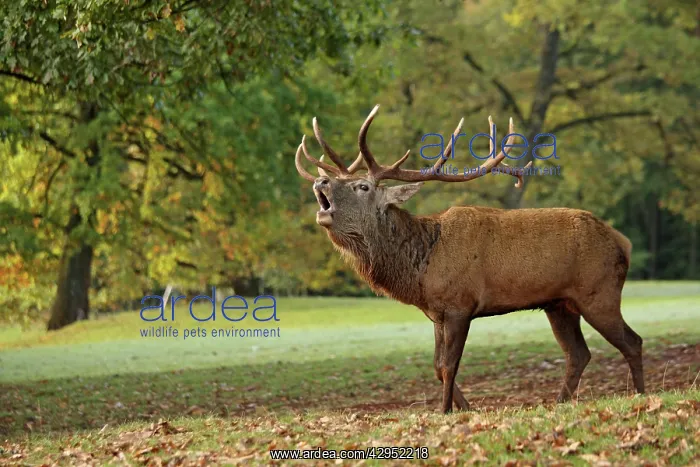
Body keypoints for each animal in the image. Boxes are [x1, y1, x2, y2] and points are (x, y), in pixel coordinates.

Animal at [293, 104, 644, 414]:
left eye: (363, 186)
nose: (321, 181)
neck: (421, 266)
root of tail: (623, 242)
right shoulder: (436, 313)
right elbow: (437, 366)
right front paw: (465, 408)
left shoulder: (461, 305)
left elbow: (449, 366)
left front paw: (445, 411)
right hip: (559, 304)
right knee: (578, 353)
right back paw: (560, 402)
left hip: (598, 292)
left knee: (632, 341)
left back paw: (640, 395)